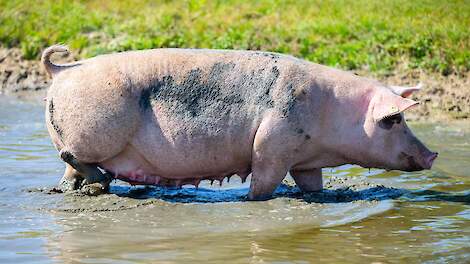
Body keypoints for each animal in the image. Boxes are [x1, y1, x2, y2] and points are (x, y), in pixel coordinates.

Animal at [40, 45, 436, 200]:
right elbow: (263, 180)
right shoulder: (273, 143)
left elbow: (312, 185)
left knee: (69, 171)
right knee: (71, 156)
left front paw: (318, 196)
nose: (432, 155)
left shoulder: (304, 159)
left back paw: (84, 188)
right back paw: (102, 182)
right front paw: (250, 200)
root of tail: (62, 70)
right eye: (395, 119)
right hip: (96, 131)